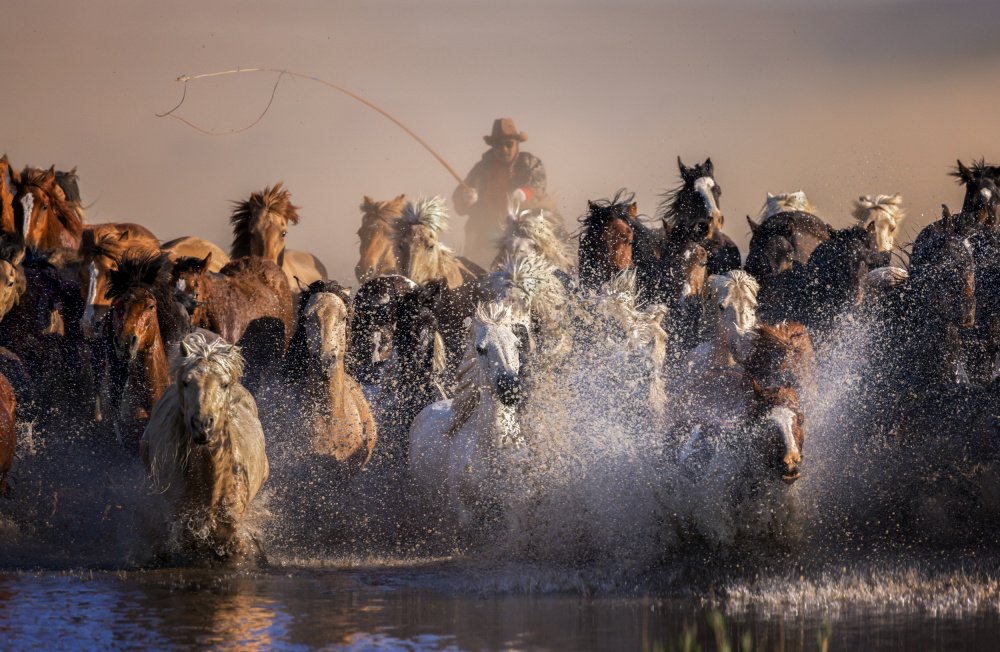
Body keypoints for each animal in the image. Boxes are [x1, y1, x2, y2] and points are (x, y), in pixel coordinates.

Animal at [410, 300, 528, 536]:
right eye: (480, 349)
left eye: (518, 345)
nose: (510, 388)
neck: (493, 446)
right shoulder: (463, 511)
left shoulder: (513, 507)